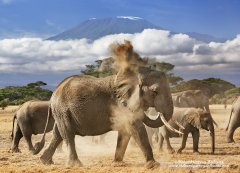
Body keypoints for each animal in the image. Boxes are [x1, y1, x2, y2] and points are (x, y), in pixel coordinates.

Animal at [34, 41, 180, 169]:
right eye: (155, 92)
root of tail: (54, 92)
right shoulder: (121, 104)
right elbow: (136, 127)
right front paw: (154, 166)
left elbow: (125, 131)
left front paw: (117, 163)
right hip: (62, 110)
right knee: (68, 134)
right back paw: (75, 165)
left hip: (61, 111)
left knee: (58, 133)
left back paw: (45, 161)